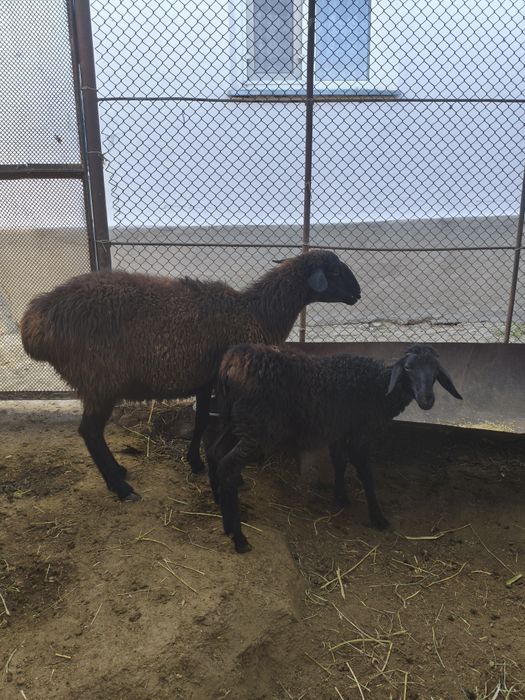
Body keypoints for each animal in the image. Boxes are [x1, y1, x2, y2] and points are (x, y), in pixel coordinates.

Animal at [20, 250, 361, 501]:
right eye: (334, 273)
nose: (358, 293)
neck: (256, 312)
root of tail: (34, 322)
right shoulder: (229, 385)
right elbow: (222, 428)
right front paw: (230, 476)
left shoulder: (205, 380)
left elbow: (200, 421)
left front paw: (195, 461)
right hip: (99, 380)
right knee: (89, 432)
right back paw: (121, 488)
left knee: (94, 433)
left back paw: (118, 473)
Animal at [207, 343, 462, 552]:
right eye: (408, 368)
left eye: (436, 372)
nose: (427, 400)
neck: (378, 386)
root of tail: (232, 361)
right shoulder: (359, 432)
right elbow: (365, 473)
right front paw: (378, 518)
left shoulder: (340, 430)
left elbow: (338, 461)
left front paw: (341, 497)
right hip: (257, 428)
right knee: (228, 465)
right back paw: (238, 537)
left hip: (234, 420)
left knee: (214, 452)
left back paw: (219, 503)